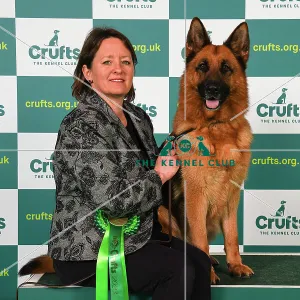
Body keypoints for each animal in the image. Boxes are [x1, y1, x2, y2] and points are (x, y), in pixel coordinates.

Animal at [158, 17, 254, 284]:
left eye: (226, 68)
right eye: (202, 66)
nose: (212, 89)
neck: (215, 127)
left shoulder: (232, 196)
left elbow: (232, 236)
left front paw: (235, 264)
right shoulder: (196, 197)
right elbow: (199, 239)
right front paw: (206, 272)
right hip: (162, 211)